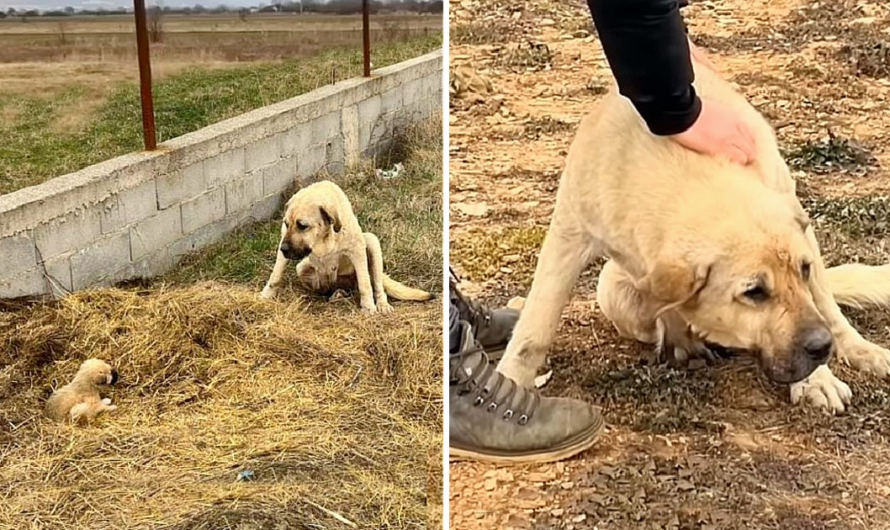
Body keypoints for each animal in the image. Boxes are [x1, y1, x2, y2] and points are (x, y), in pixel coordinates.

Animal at [496, 54, 888, 412]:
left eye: (802, 270)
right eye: (754, 292)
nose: (822, 348)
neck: (680, 163)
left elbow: (819, 306)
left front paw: (816, 380)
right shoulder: (569, 234)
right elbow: (533, 330)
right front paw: (508, 385)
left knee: (831, 309)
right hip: (613, 293)